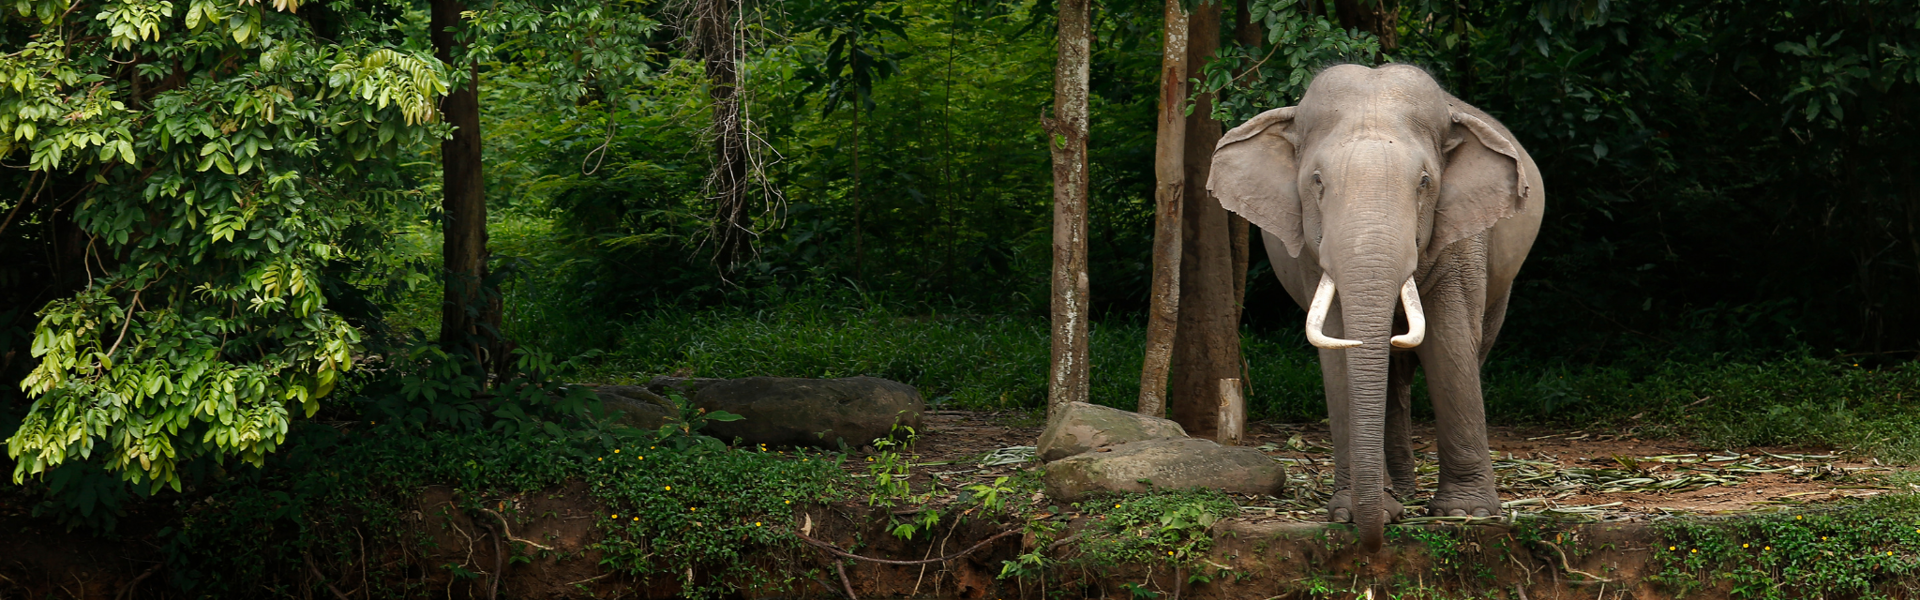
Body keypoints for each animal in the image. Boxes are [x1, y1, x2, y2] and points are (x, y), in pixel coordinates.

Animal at [1207, 64, 1544, 552]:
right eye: (1317, 182)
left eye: (1424, 183)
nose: (1373, 541)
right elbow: (1338, 345)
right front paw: (1354, 513)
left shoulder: (1463, 238)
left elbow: (1449, 343)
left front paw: (1467, 514)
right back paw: (1398, 492)